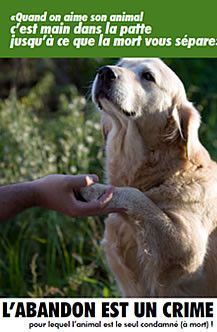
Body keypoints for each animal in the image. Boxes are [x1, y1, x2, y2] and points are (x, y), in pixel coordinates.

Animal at [80, 58, 217, 296]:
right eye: (120, 63)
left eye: (148, 76)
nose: (105, 72)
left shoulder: (187, 246)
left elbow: (137, 197)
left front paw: (95, 189)